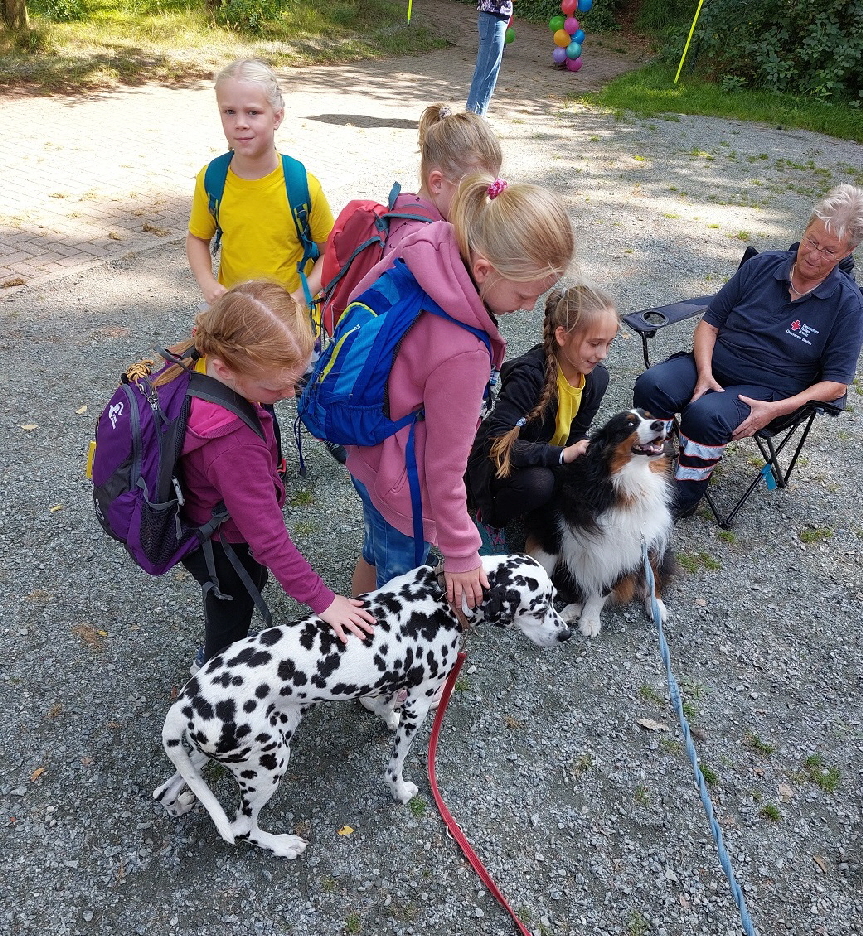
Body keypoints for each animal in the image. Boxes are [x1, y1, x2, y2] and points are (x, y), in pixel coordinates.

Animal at [154, 552, 572, 860]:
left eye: (555, 599)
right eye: (539, 607)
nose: (567, 635)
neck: (439, 601)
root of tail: (186, 703)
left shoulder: (395, 684)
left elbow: (383, 703)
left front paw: (384, 715)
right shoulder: (420, 706)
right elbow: (396, 764)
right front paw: (399, 791)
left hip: (235, 747)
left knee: (172, 785)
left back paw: (179, 801)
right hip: (268, 765)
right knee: (241, 828)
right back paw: (281, 845)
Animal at [528, 410, 676, 636]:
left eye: (650, 416)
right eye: (629, 424)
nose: (659, 424)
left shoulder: (623, 550)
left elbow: (601, 592)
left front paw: (590, 621)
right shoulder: (552, 533)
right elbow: (545, 572)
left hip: (652, 547)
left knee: (653, 577)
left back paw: (656, 607)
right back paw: (571, 610)